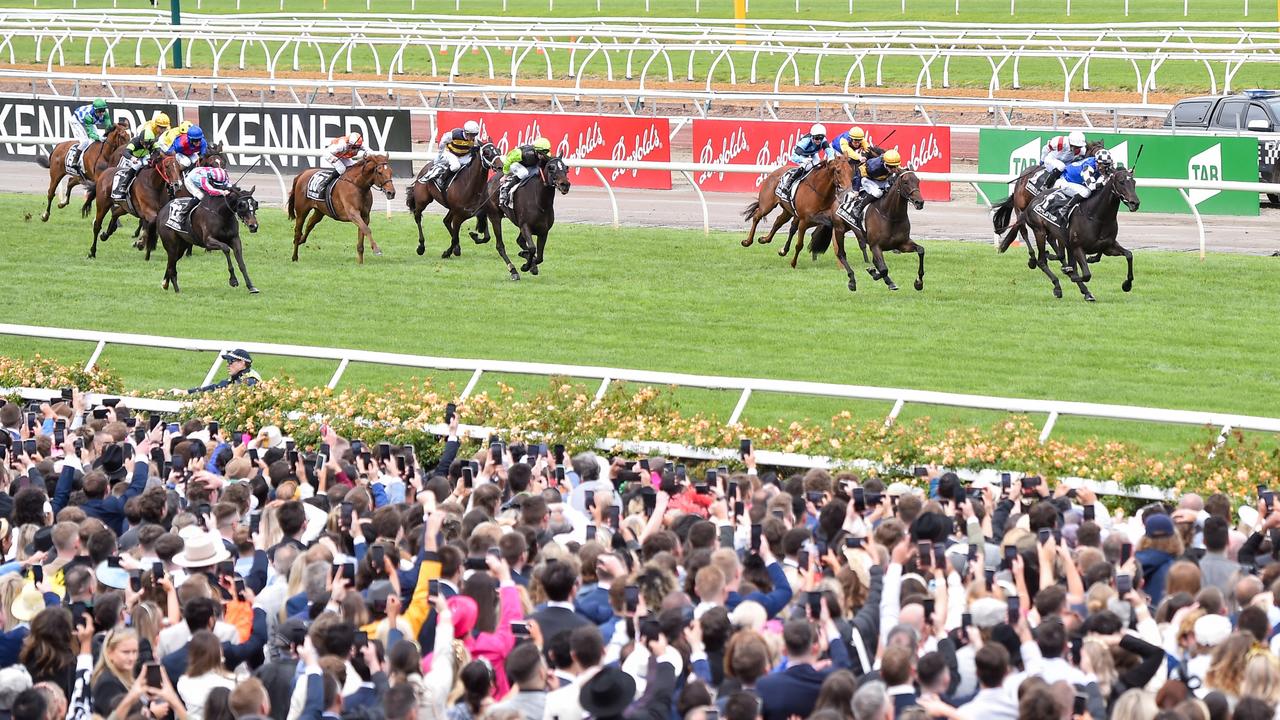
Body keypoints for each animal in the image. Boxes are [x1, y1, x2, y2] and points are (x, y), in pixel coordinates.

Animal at [84, 144, 227, 258]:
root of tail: (105, 172)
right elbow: (153, 223)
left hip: (126, 207)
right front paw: (143, 243)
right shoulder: (150, 211)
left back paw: (107, 234)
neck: (153, 184)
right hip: (103, 203)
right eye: (211, 164)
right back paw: (92, 251)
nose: (177, 184)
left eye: (223, 163)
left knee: (115, 213)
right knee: (97, 225)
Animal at [998, 166, 1141, 299]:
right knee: (1041, 260)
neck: (1096, 216)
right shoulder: (1077, 247)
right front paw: (1070, 273)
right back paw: (1056, 284)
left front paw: (1127, 285)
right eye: (1121, 182)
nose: (1135, 203)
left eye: (1134, 182)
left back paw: (1083, 290)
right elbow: (1086, 274)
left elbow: (1129, 255)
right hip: (1039, 230)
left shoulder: (1107, 246)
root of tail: (1034, 200)